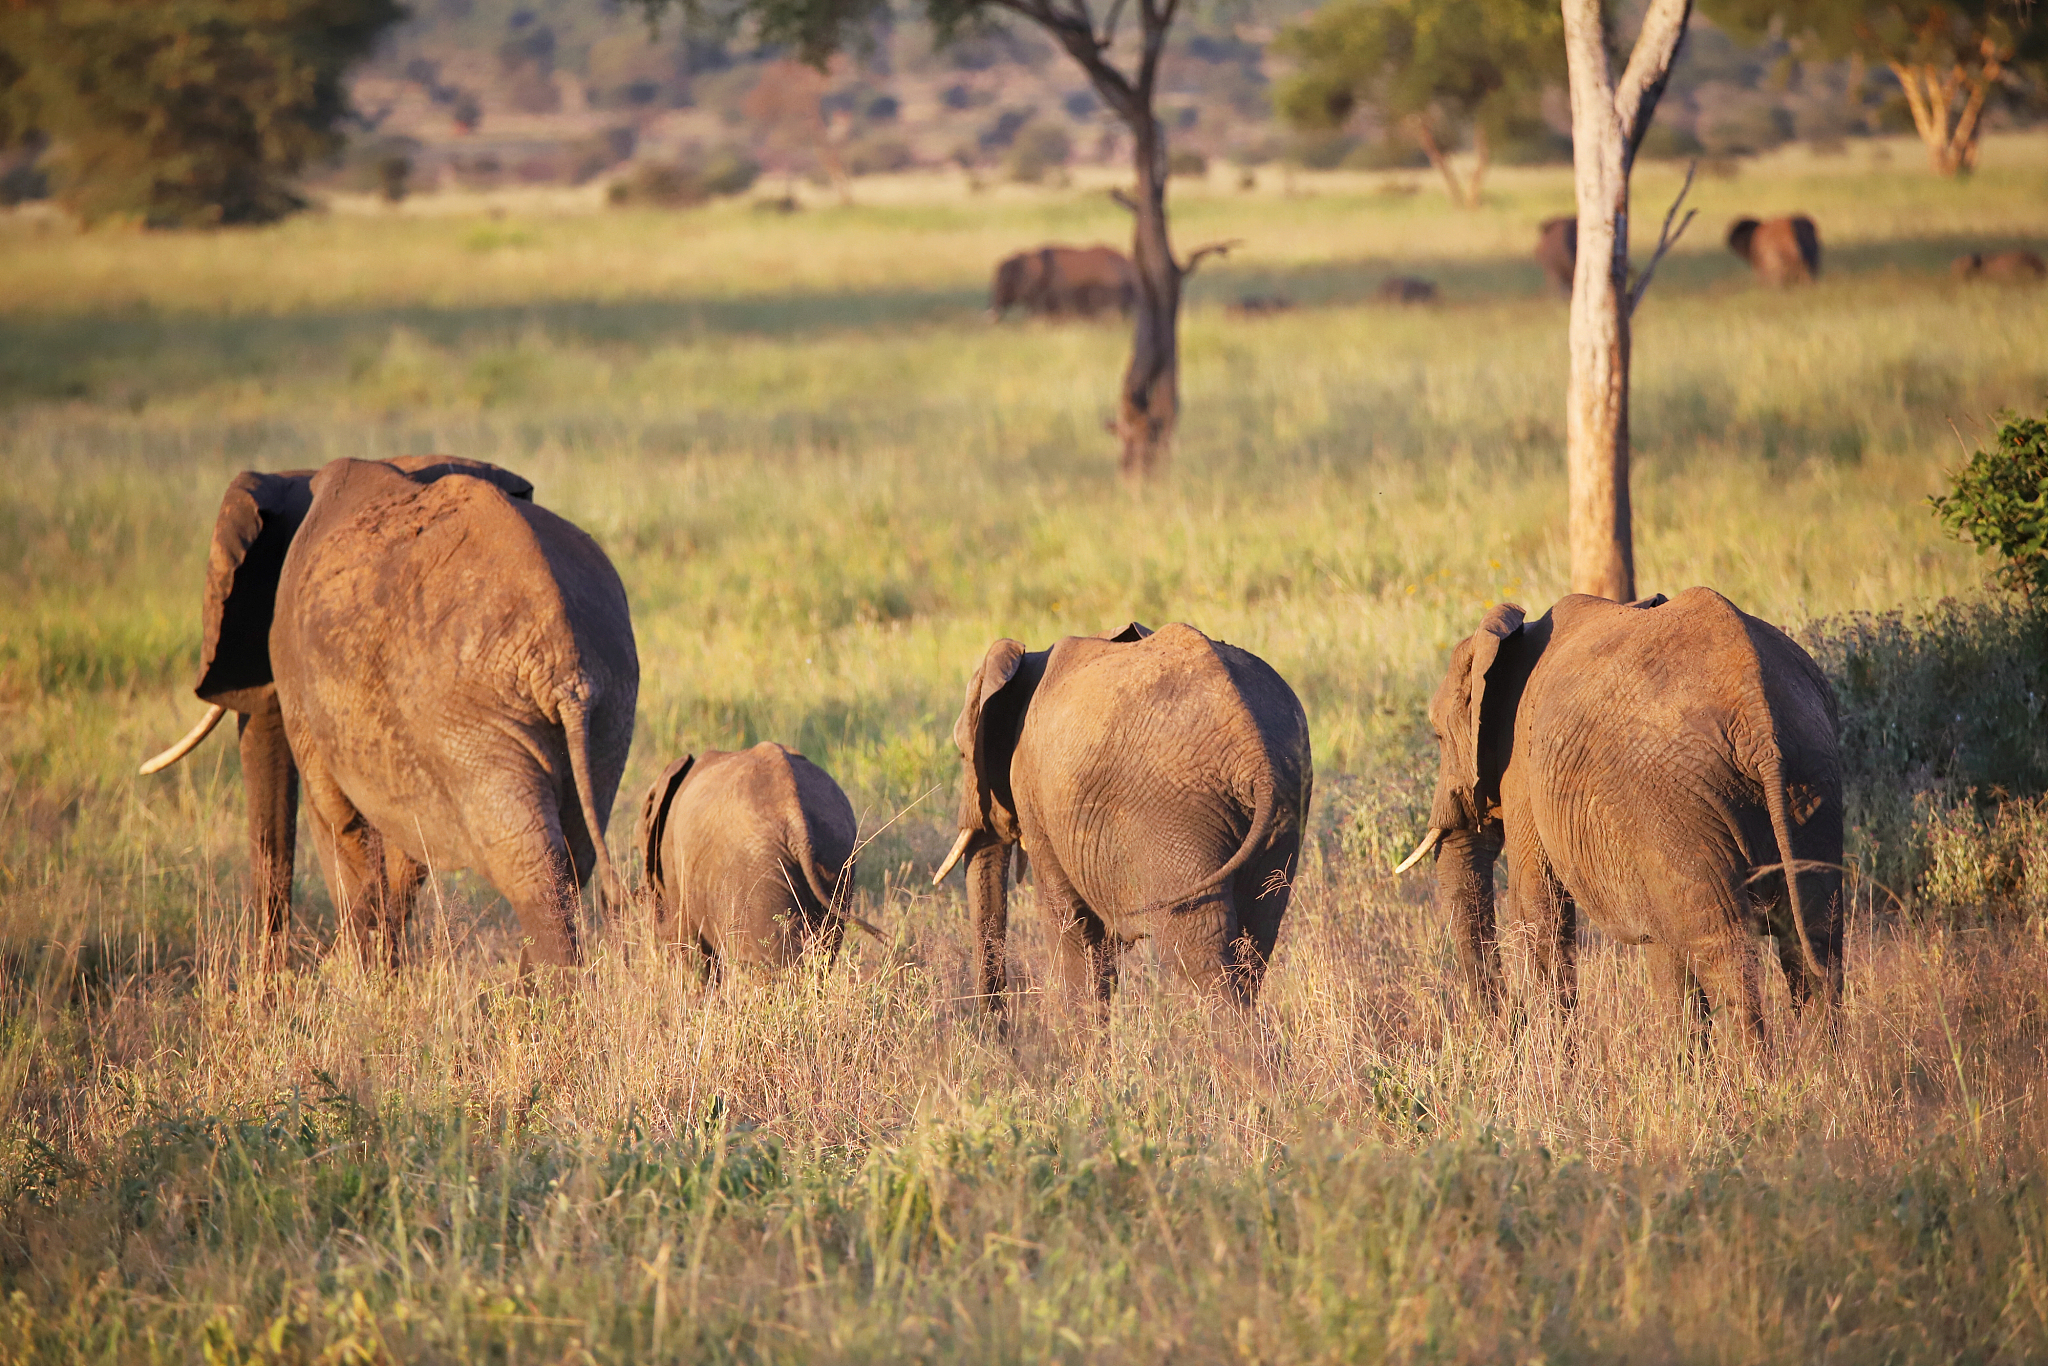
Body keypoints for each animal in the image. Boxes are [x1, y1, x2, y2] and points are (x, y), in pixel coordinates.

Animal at [140, 456, 638, 971]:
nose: (270, 980)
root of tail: (562, 657)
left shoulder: (296, 662)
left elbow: (337, 816)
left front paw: (357, 970)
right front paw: (372, 965)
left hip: (470, 709)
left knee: (528, 861)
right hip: (605, 707)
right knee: (571, 854)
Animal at [932, 622, 1313, 1011]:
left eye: (961, 753)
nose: (1000, 1026)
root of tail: (1255, 757)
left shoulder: (1034, 792)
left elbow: (1067, 919)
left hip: (1173, 817)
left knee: (1197, 952)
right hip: (1282, 814)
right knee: (1256, 938)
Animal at [1398, 588, 1843, 1048]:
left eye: (1437, 735)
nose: (1506, 1029)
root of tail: (1755, 712)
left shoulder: (1521, 764)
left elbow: (1534, 900)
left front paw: (1558, 1057)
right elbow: (1664, 948)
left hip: (1679, 799)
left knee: (1726, 951)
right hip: (1810, 778)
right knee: (1816, 933)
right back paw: (1824, 1063)